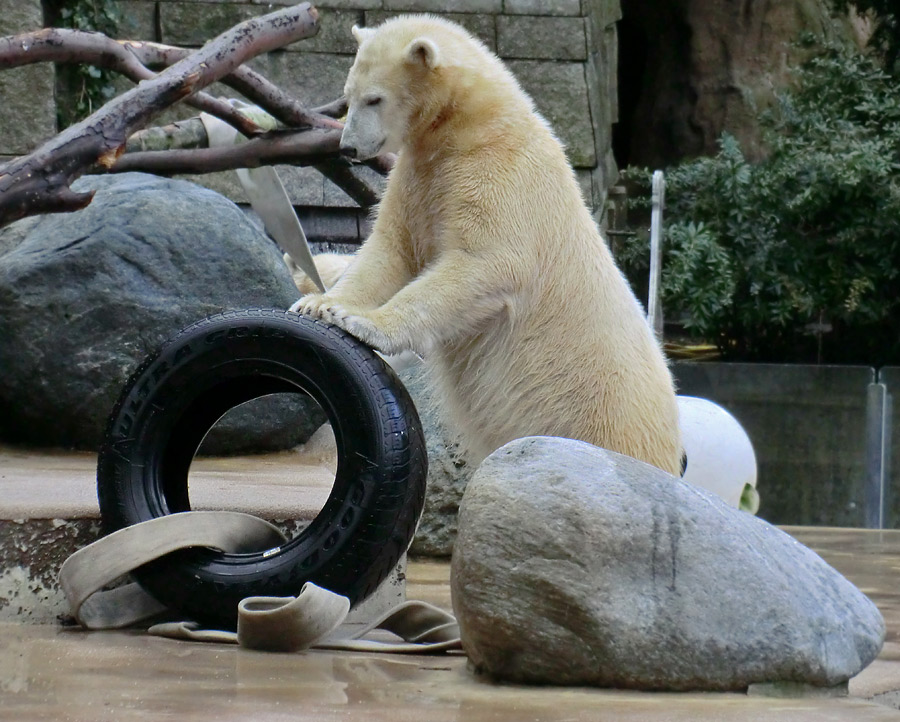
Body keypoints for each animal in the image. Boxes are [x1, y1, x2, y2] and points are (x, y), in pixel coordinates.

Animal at [296, 14, 684, 472]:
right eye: (347, 97)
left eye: (374, 99)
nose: (348, 147)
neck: (473, 123)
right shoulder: (418, 176)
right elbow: (390, 250)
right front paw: (319, 303)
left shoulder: (498, 174)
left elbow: (485, 263)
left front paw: (362, 322)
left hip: (604, 417)